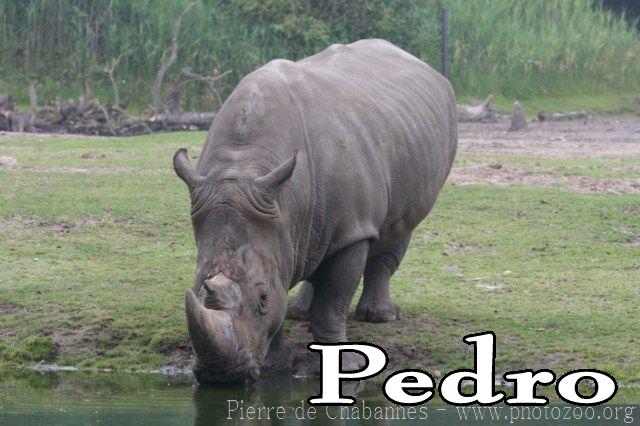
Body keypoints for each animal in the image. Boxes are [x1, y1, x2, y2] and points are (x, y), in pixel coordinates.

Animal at [174, 39, 457, 384]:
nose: (222, 376)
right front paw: (275, 366)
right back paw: (300, 312)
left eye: (262, 299)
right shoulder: (273, 221)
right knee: (311, 244)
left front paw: (345, 366)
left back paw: (380, 317)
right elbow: (283, 288)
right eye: (196, 289)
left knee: (398, 228)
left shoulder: (353, 228)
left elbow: (332, 301)